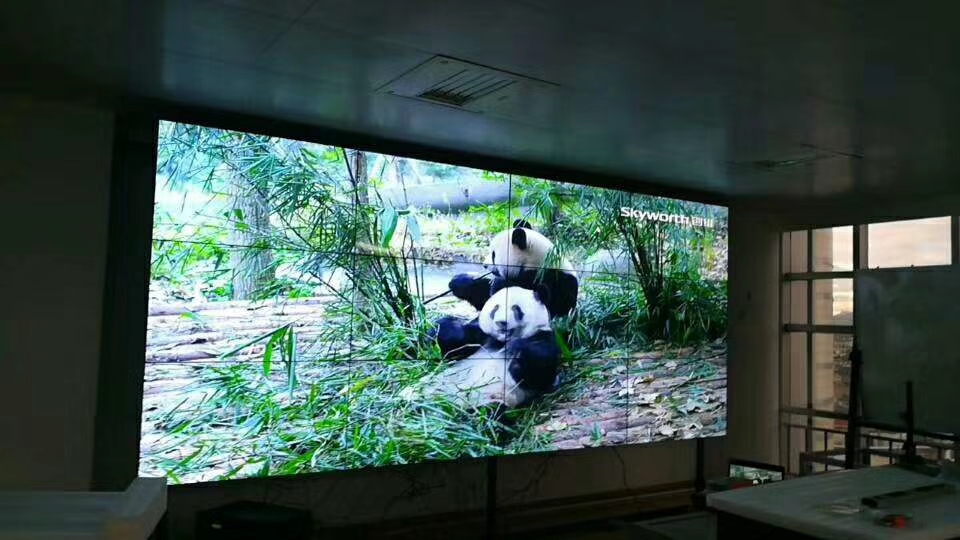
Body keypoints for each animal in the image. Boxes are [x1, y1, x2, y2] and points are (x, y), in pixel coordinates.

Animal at [414, 286, 564, 404]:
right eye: (496, 308)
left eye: (516, 308)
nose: (502, 322)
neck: (502, 341)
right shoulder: (483, 337)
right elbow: (452, 348)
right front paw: (436, 331)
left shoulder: (544, 337)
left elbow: (541, 373)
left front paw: (517, 351)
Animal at [434, 219, 576, 358]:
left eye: (493, 255)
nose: (484, 265)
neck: (535, 262)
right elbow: (485, 298)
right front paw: (458, 282)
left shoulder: (551, 280)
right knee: (446, 328)